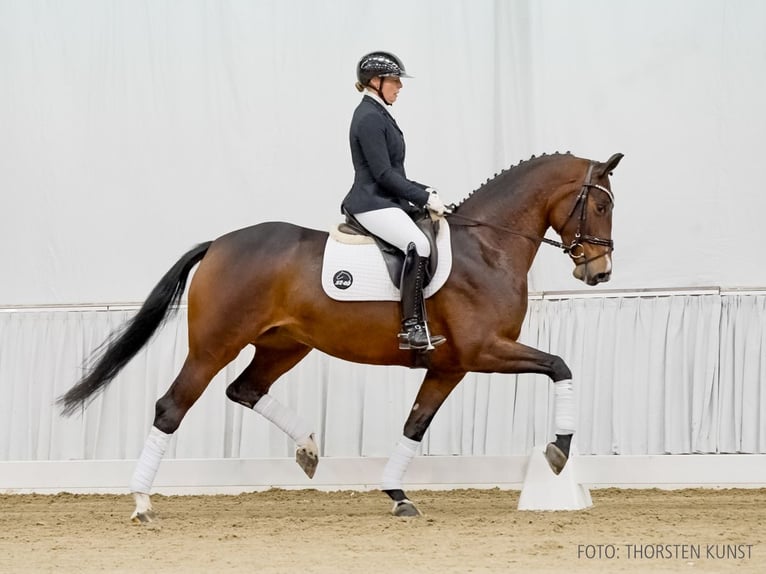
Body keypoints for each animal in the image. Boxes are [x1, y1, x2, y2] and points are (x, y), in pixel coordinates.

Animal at [58, 152, 624, 520]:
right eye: (601, 206)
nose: (598, 272)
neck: (487, 247)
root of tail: (218, 243)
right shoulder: (485, 351)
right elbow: (560, 365)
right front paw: (559, 451)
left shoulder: (450, 366)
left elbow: (415, 425)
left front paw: (397, 494)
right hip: (214, 346)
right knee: (171, 407)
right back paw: (141, 502)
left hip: (285, 345)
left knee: (245, 389)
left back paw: (308, 449)